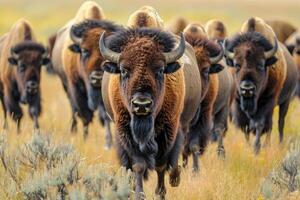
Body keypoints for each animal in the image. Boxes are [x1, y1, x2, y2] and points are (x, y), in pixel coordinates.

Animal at [50, 1, 118, 148]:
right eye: (85, 51)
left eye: (105, 56)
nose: (97, 77)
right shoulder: (75, 87)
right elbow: (84, 114)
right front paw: (85, 138)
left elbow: (105, 116)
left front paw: (108, 143)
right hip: (65, 85)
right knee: (74, 109)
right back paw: (73, 130)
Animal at [99, 27, 202, 199]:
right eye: (124, 70)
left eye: (160, 70)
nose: (141, 105)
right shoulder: (127, 133)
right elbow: (138, 165)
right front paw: (139, 194)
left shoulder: (168, 131)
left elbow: (162, 164)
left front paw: (161, 192)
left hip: (184, 124)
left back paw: (175, 178)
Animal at [182, 23, 233, 170]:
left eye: (206, 70)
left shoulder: (203, 117)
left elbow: (194, 144)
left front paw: (195, 170)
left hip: (223, 107)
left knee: (219, 129)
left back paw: (221, 154)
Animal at [223, 17, 298, 155]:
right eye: (236, 64)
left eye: (261, 65)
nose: (247, 89)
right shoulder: (237, 103)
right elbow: (244, 126)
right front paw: (247, 147)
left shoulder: (268, 102)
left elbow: (260, 124)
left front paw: (256, 148)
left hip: (285, 101)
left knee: (279, 123)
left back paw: (277, 144)